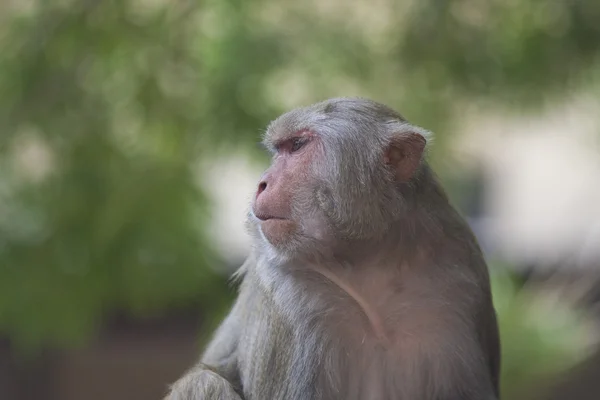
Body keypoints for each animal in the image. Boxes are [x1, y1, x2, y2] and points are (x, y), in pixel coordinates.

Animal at [168, 97, 502, 400]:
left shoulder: (460, 277)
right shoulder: (290, 296)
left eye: (297, 145)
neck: (367, 257)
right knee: (203, 384)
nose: (261, 183)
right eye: (279, 149)